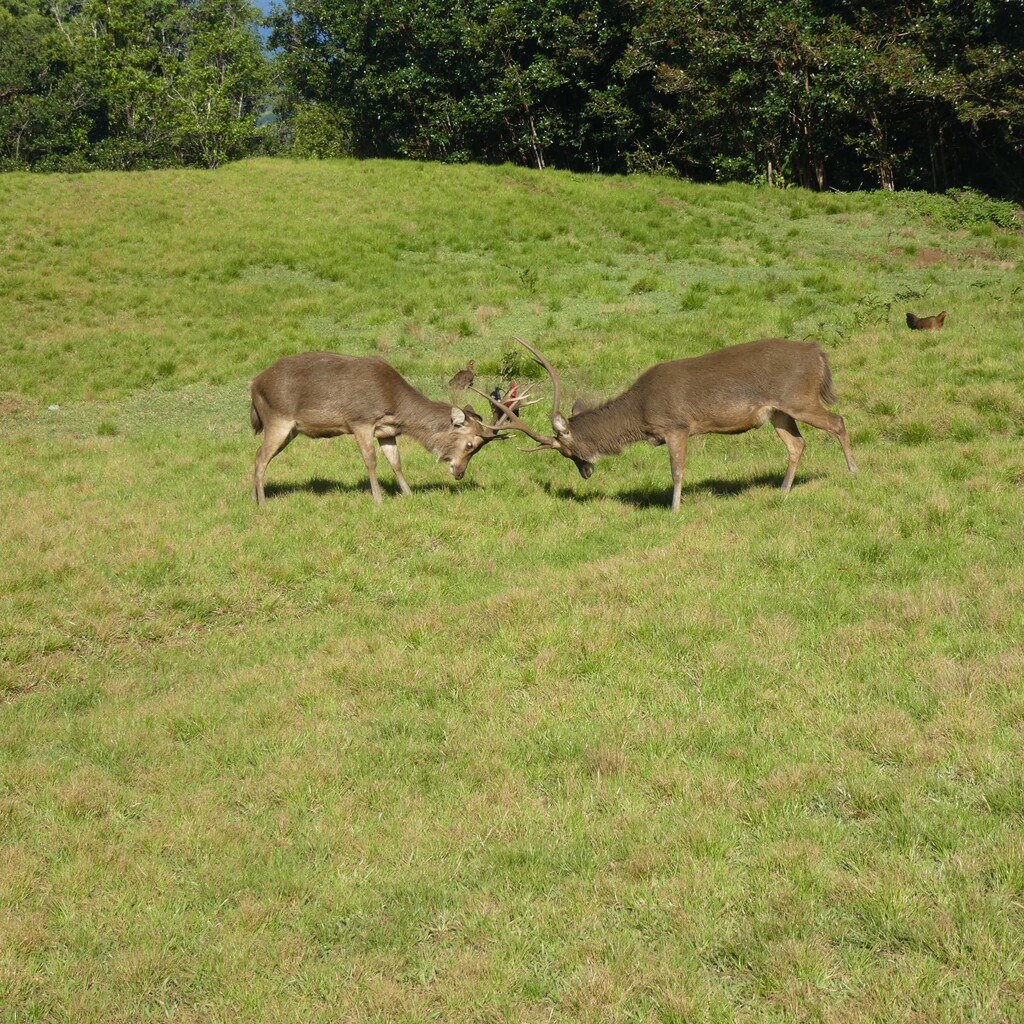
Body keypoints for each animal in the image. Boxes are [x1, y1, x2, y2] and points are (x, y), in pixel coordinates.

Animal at [251, 354, 507, 505]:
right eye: (470, 445)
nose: (460, 473)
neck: (396, 404)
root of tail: (254, 384)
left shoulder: (387, 431)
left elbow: (396, 462)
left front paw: (408, 493)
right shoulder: (361, 421)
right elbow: (370, 460)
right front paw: (378, 498)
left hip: (291, 429)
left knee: (258, 455)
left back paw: (255, 497)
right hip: (277, 419)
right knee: (261, 457)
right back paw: (262, 503)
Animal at [475, 335, 860, 512]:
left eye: (566, 451)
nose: (585, 472)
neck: (640, 414)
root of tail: (818, 354)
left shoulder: (677, 426)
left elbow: (677, 471)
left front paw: (674, 508)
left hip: (800, 398)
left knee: (838, 421)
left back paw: (854, 470)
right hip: (779, 411)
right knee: (798, 443)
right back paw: (782, 490)